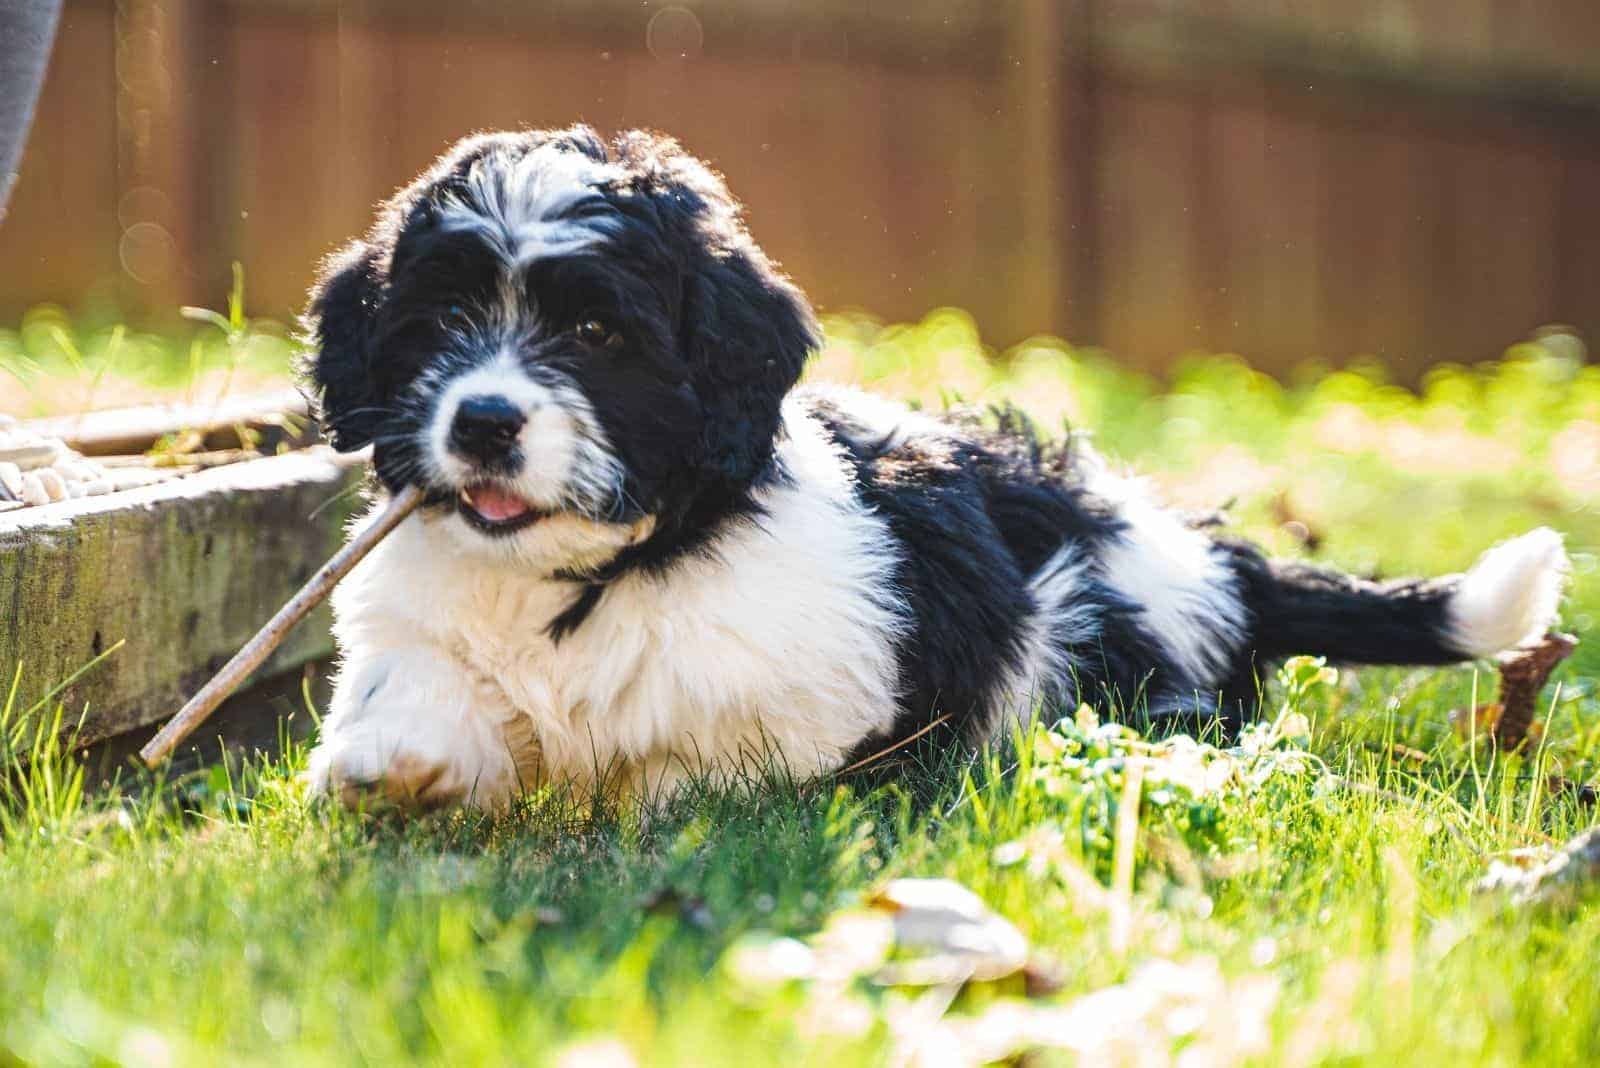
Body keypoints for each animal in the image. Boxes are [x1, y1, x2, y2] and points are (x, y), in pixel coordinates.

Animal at [297, 127, 1561, 808]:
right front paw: (394, 760)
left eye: (596, 334)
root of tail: (1213, 563)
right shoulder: (424, 621)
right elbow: (419, 682)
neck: (591, 572)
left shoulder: (815, 701)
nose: (483, 421)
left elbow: (691, 772)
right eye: (442, 317)